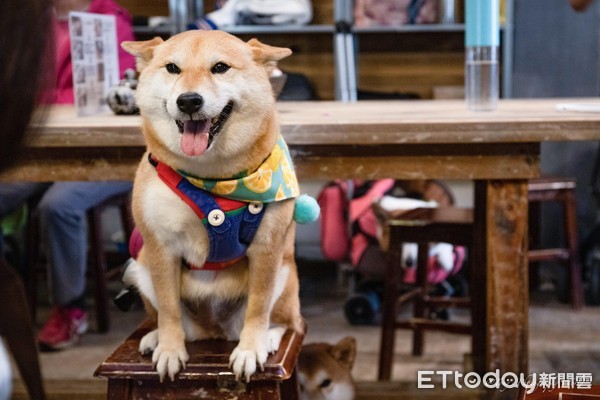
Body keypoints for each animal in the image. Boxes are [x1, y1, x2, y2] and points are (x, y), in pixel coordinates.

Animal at [119, 30, 304, 382]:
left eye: (220, 67)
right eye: (172, 68)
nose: (189, 100)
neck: (212, 179)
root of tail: (213, 331)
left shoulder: (267, 249)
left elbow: (258, 308)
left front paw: (250, 349)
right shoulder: (160, 249)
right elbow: (168, 310)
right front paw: (170, 349)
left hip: (285, 275)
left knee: (288, 323)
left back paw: (270, 338)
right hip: (140, 266)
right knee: (166, 317)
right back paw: (155, 337)